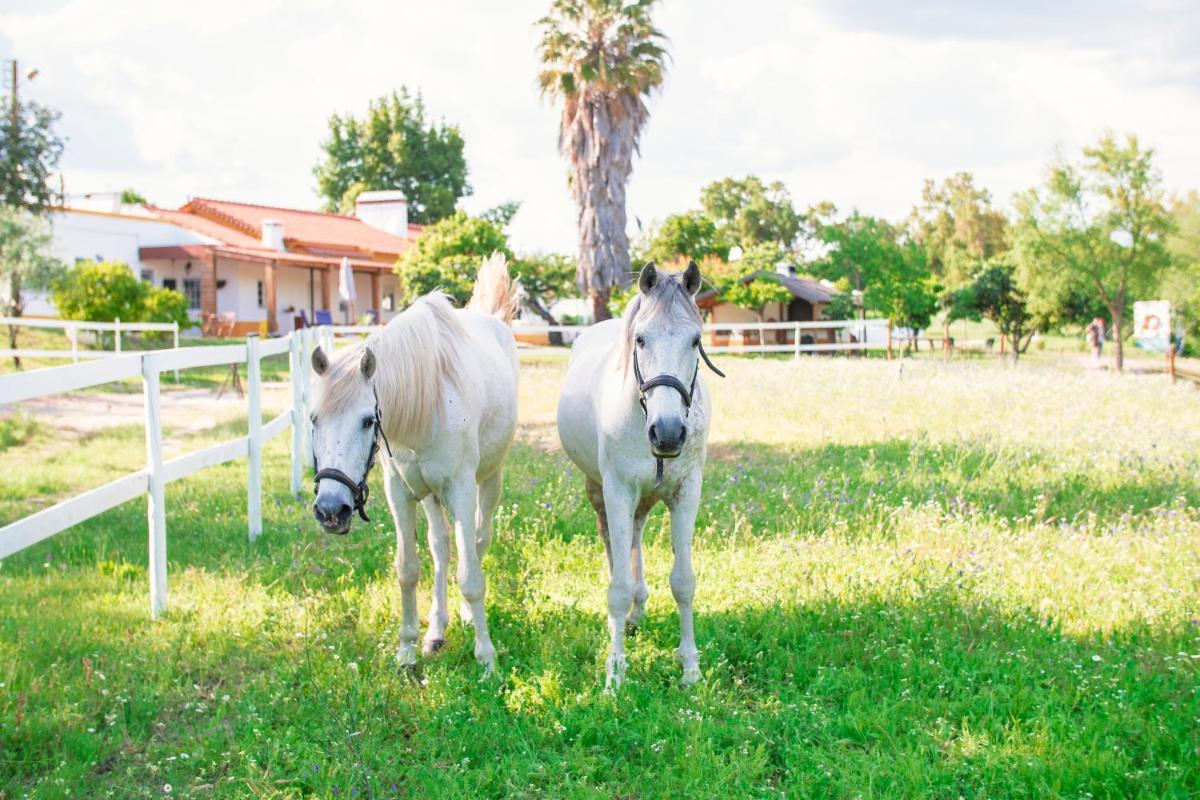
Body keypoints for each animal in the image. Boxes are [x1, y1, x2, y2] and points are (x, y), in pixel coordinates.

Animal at [307, 251, 518, 676]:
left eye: (366, 420)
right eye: (313, 419)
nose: (331, 510)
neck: (428, 403)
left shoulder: (462, 490)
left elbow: (471, 576)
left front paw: (487, 658)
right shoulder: (401, 494)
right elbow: (407, 569)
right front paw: (406, 651)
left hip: (489, 481)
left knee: (478, 540)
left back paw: (466, 618)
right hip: (431, 496)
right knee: (441, 548)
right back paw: (436, 630)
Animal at [554, 262, 720, 690]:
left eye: (696, 341)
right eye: (641, 340)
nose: (668, 432)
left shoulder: (686, 492)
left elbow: (683, 581)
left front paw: (690, 668)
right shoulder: (617, 490)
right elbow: (616, 586)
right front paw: (614, 675)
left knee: (636, 537)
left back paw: (638, 610)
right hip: (599, 491)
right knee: (613, 546)